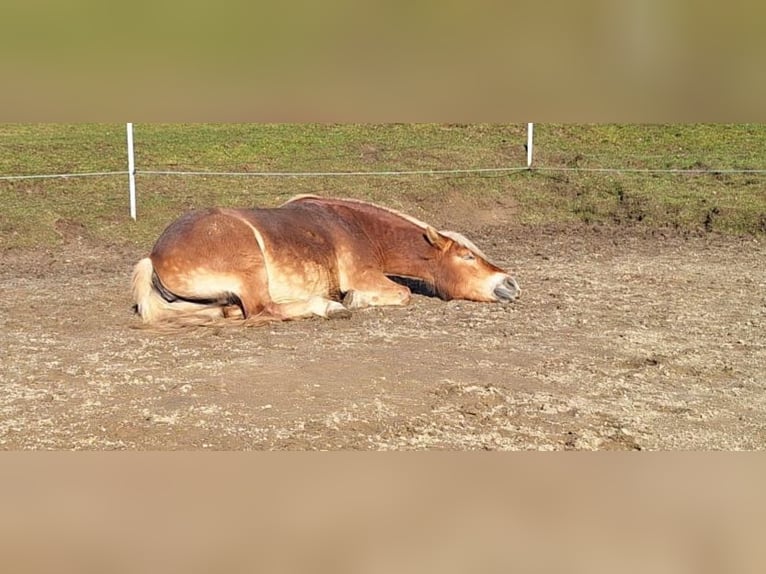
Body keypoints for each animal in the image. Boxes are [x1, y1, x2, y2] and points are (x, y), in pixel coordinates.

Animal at [131, 194, 520, 327]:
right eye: (467, 256)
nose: (511, 283)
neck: (357, 228)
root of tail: (153, 255)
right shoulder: (364, 276)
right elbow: (402, 294)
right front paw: (353, 300)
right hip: (250, 269)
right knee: (262, 310)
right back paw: (328, 307)